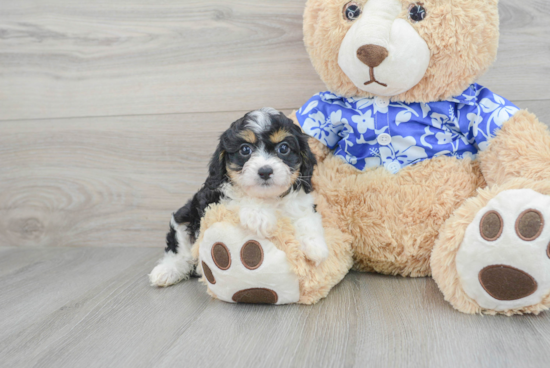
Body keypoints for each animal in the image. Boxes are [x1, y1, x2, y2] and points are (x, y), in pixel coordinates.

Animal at [149, 108, 330, 286]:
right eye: (245, 150)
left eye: (284, 148)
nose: (265, 171)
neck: (269, 198)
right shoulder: (215, 201)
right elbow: (241, 198)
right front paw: (259, 216)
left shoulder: (302, 201)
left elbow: (306, 217)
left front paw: (315, 245)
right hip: (184, 217)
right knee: (180, 251)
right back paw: (167, 271)